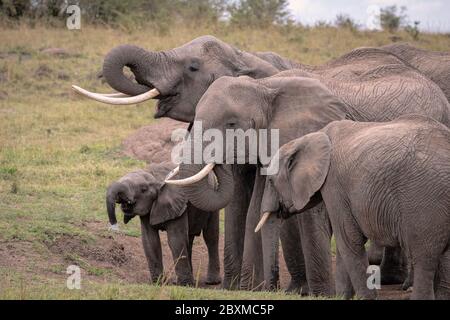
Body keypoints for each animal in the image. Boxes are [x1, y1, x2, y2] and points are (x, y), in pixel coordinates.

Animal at [260, 115, 450, 300]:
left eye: (270, 181)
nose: (272, 290)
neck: (310, 137)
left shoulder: (334, 185)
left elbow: (348, 239)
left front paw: (365, 298)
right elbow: (344, 243)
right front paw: (342, 297)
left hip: (423, 200)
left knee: (423, 259)